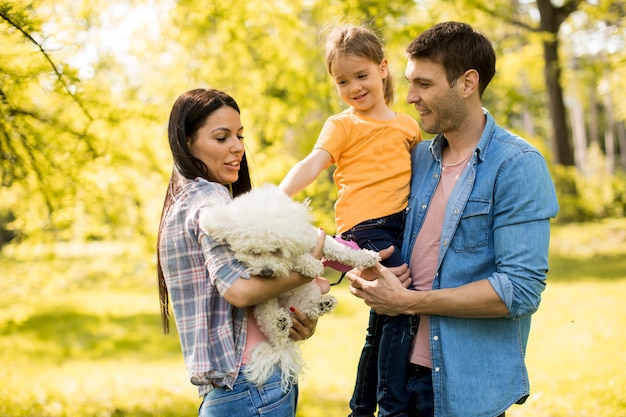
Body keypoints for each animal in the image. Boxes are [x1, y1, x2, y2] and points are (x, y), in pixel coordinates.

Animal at [197, 184, 378, 388]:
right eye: (253, 252)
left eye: (276, 250)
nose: (267, 272)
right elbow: (297, 260)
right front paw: (312, 265)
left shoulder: (312, 238)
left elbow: (339, 251)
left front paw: (366, 257)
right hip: (265, 306)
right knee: (275, 329)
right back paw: (281, 324)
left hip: (307, 295)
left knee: (309, 311)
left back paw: (322, 305)